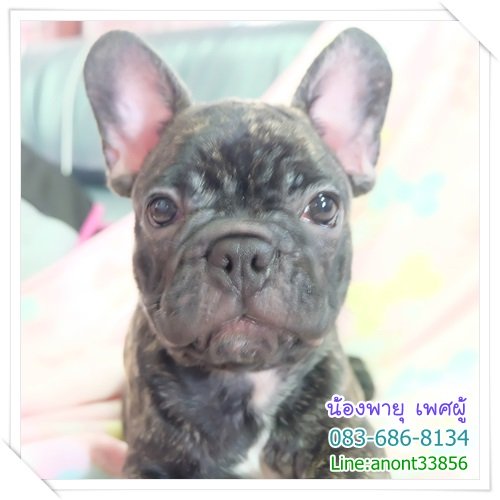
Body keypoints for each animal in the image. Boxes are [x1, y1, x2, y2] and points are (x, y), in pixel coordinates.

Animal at [83, 26, 392, 479]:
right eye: (161, 209)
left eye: (323, 207)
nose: (243, 254)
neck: (245, 377)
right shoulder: (154, 464)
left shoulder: (346, 443)